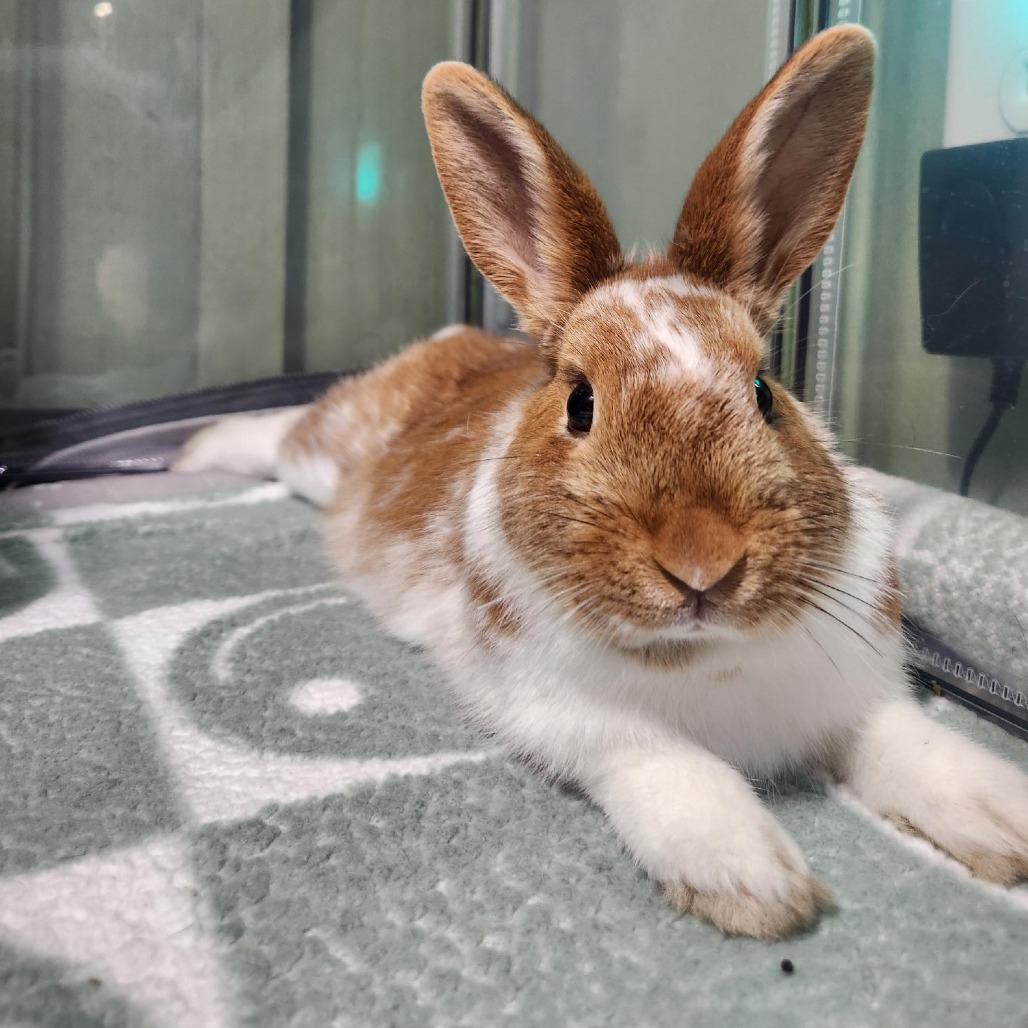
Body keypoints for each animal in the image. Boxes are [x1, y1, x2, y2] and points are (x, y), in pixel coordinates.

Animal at [176, 25, 1028, 939]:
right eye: (580, 402)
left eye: (765, 392)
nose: (704, 564)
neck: (703, 658)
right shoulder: (571, 716)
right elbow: (671, 766)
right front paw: (754, 883)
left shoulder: (861, 695)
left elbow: (914, 748)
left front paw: (1006, 820)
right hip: (327, 452)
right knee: (282, 433)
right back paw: (194, 450)